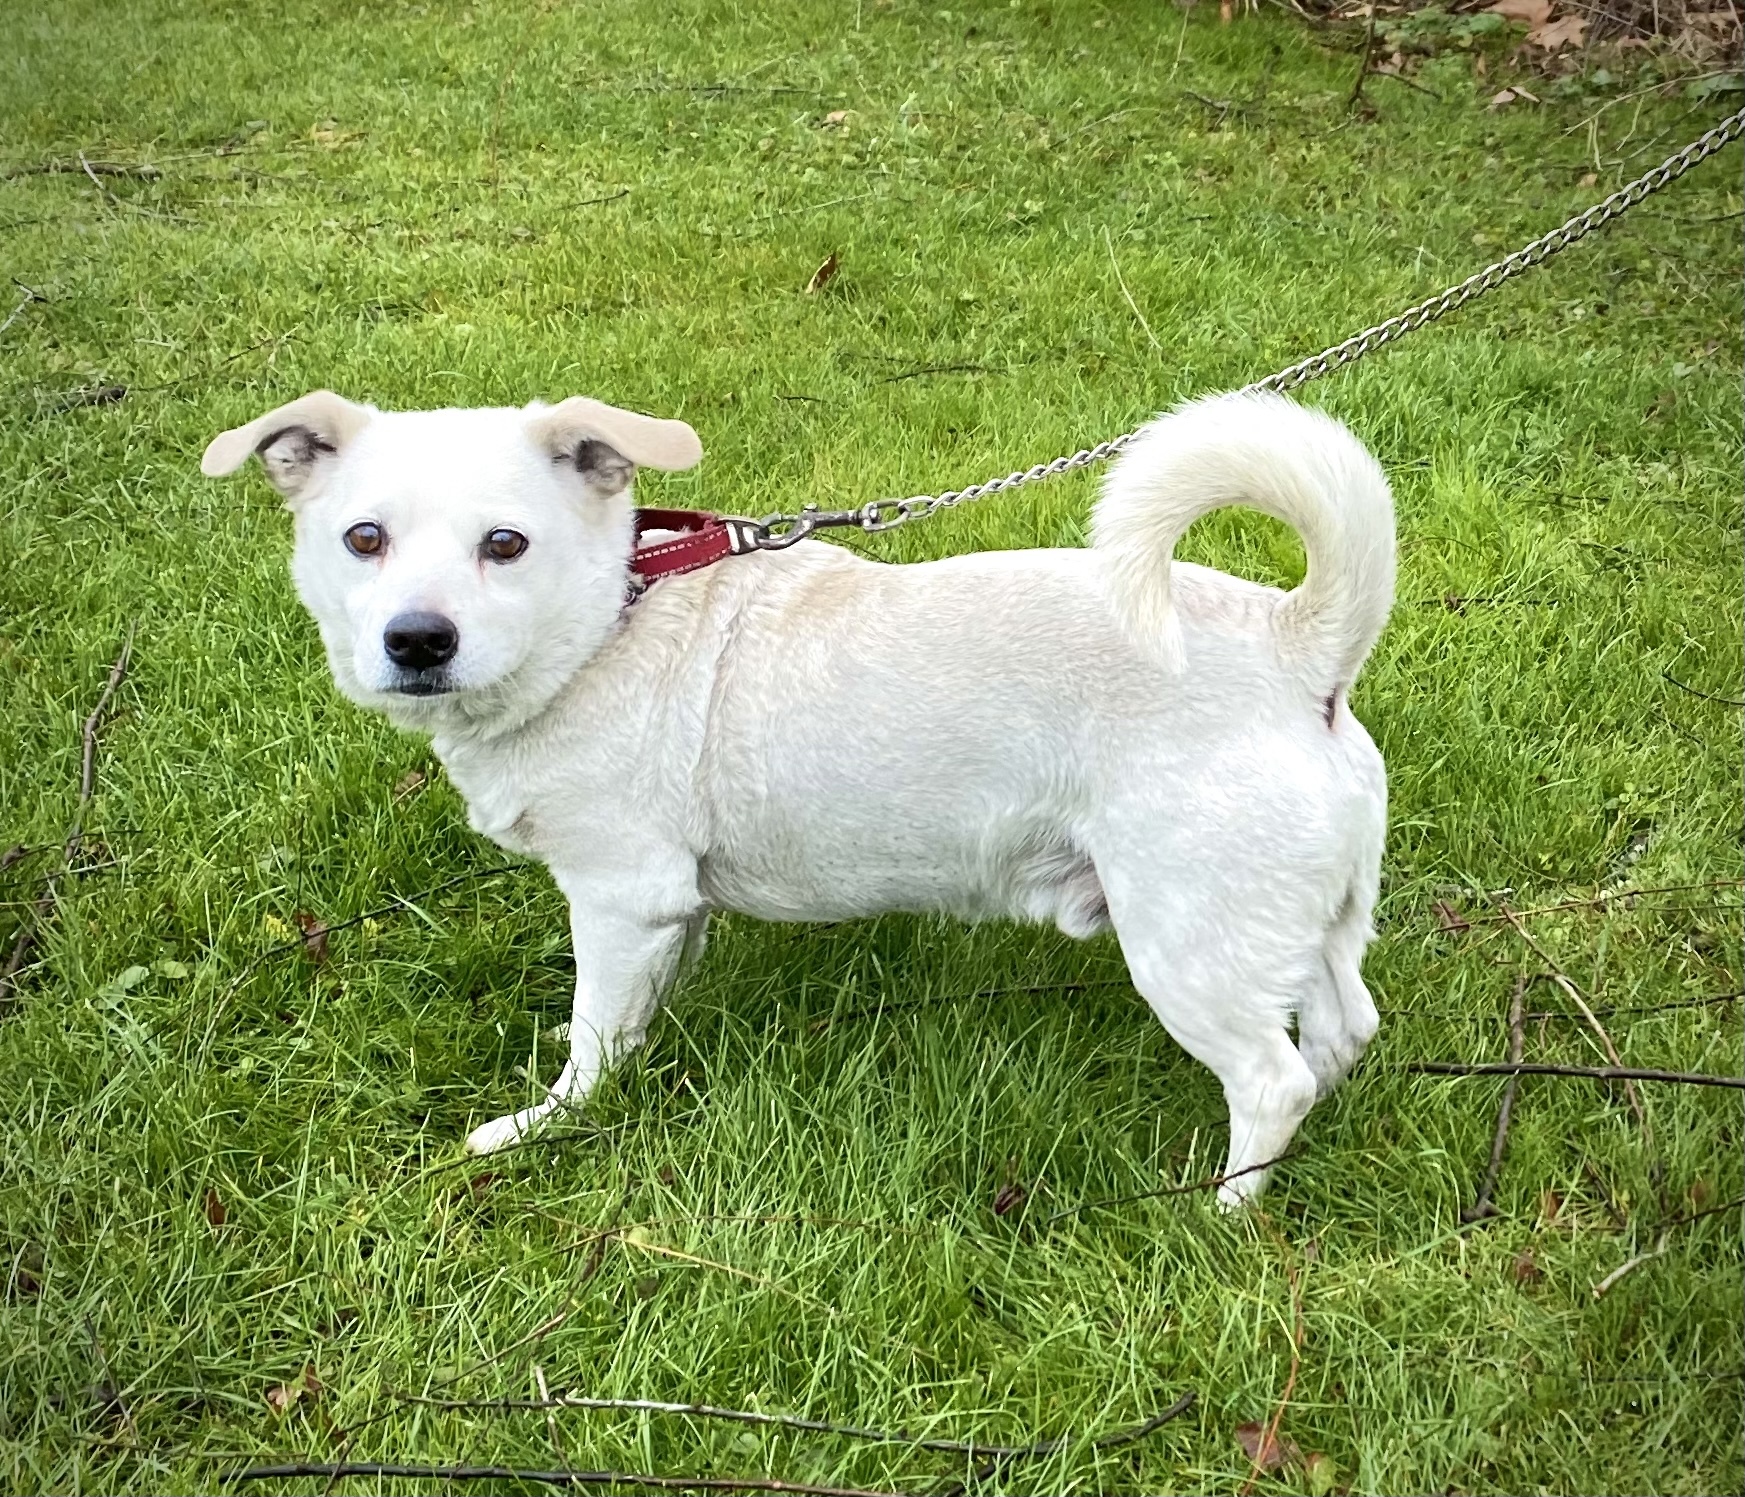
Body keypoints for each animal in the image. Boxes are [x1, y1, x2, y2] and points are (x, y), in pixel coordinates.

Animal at [200, 382, 1389, 1200]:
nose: (416, 640)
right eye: (363, 539)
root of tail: (1300, 646)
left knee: (1270, 1080)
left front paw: (549, 1125)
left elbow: (591, 1038)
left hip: (1186, 941)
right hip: (1308, 924)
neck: (607, 624)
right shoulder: (668, 911)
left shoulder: (619, 899)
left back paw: (1220, 1211)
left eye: (506, 543)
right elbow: (635, 1014)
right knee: (1337, 1033)